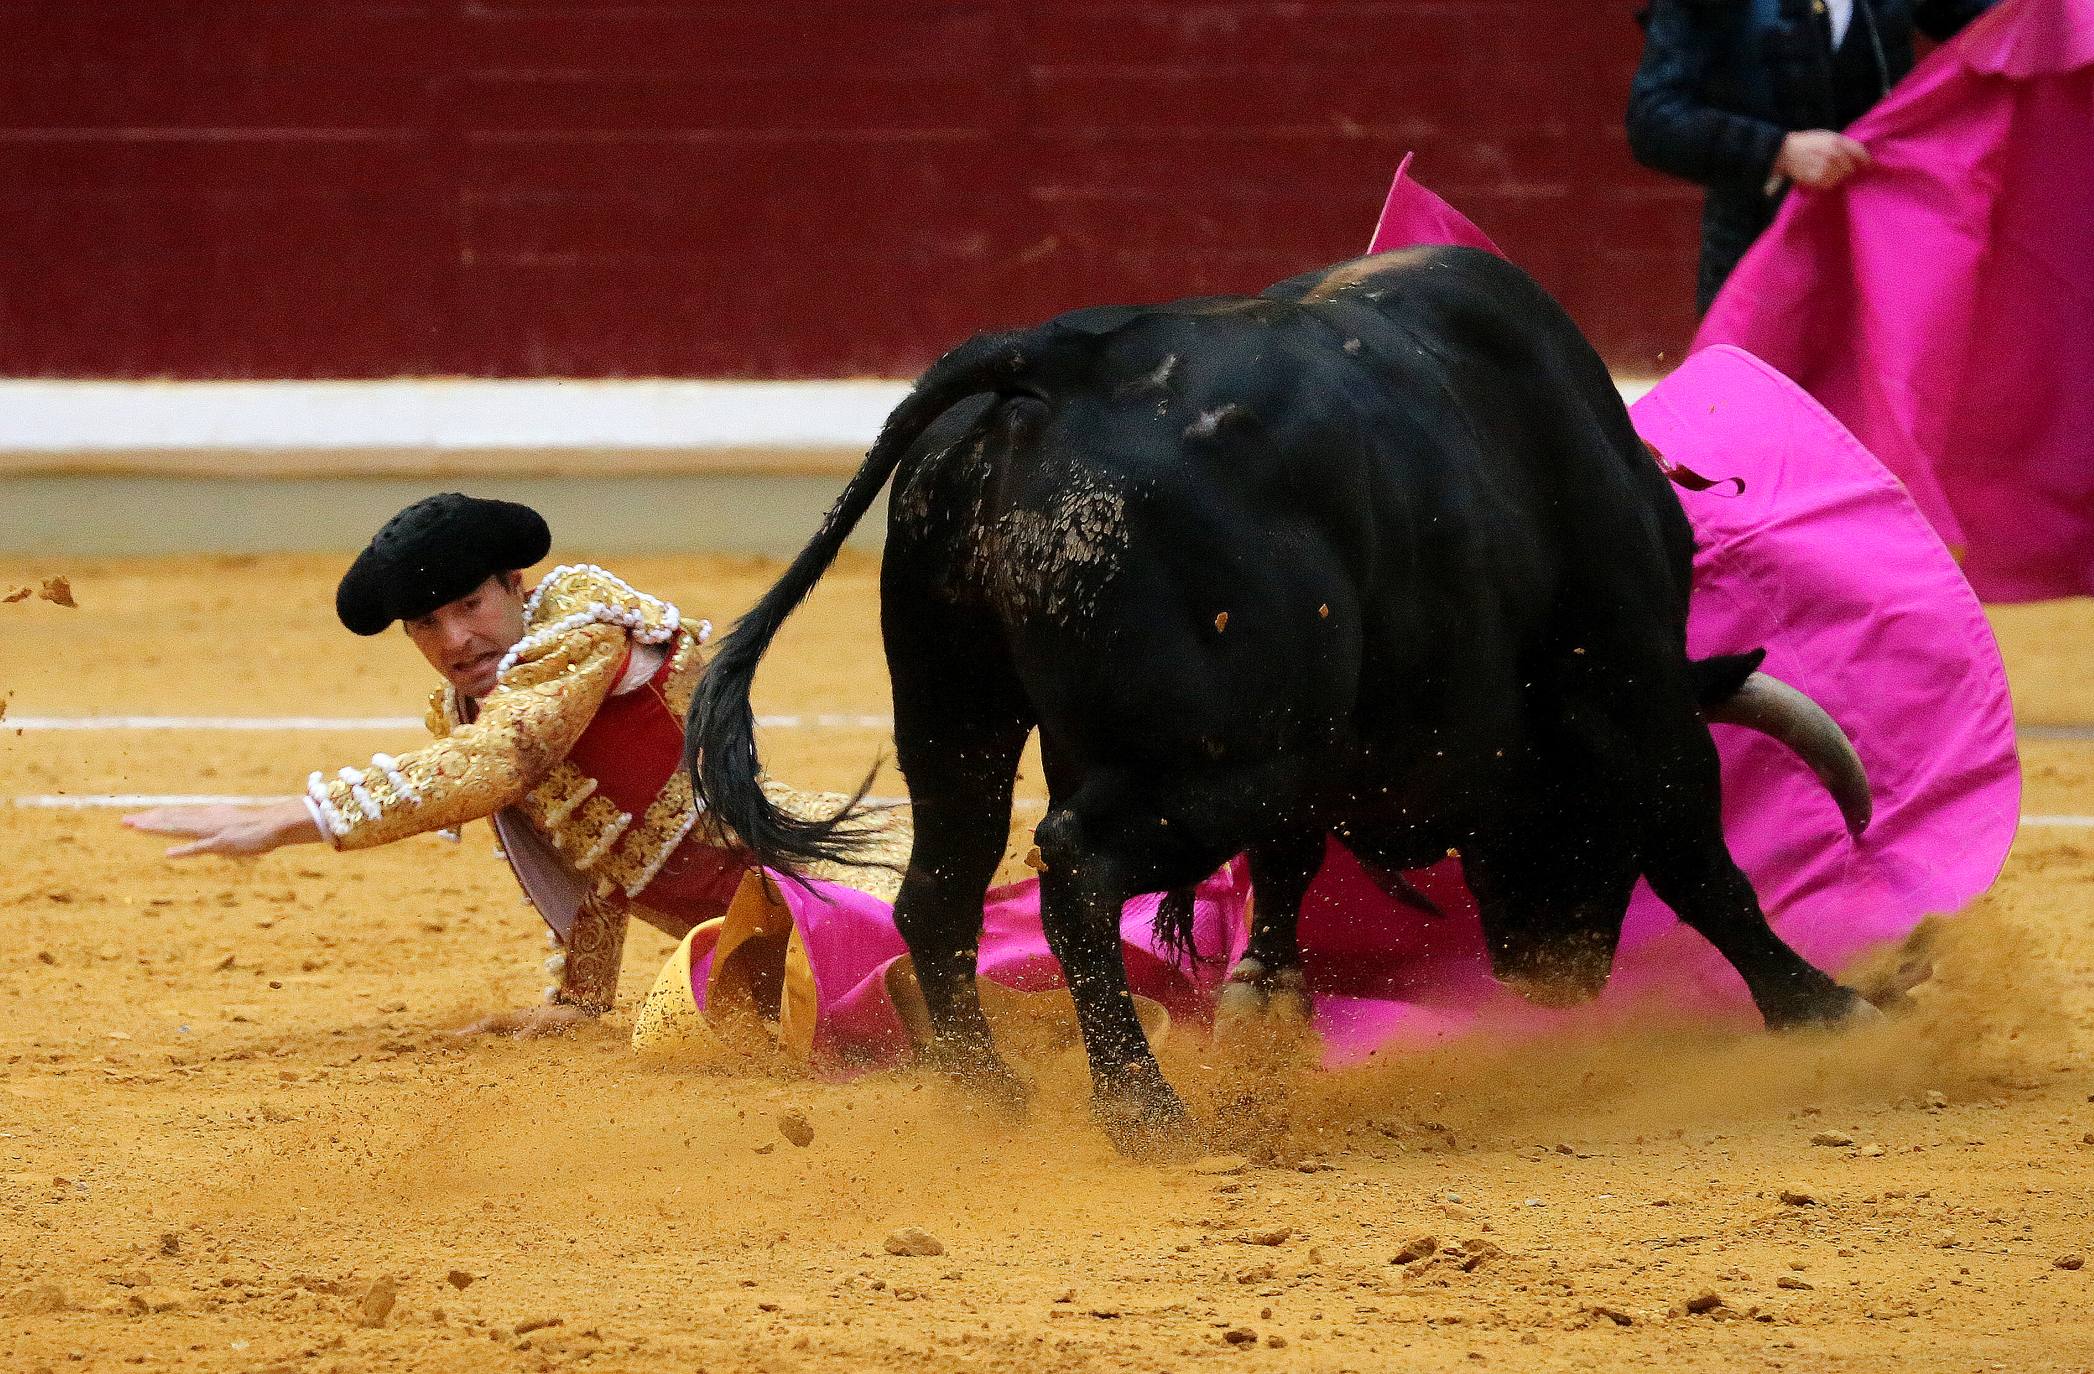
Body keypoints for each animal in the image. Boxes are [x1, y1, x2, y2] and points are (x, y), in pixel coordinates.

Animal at [691, 244, 1884, 1147]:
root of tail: (1055, 365)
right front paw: (1831, 1004)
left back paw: (993, 1096)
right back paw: (1144, 1113)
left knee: (941, 890)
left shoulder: (1330, 751)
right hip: (1221, 755)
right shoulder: (1635, 685)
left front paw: (1266, 999)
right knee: (1074, 867)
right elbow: (1701, 857)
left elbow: (1290, 862)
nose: (1562, 977)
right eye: (1588, 820)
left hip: (960, 714)